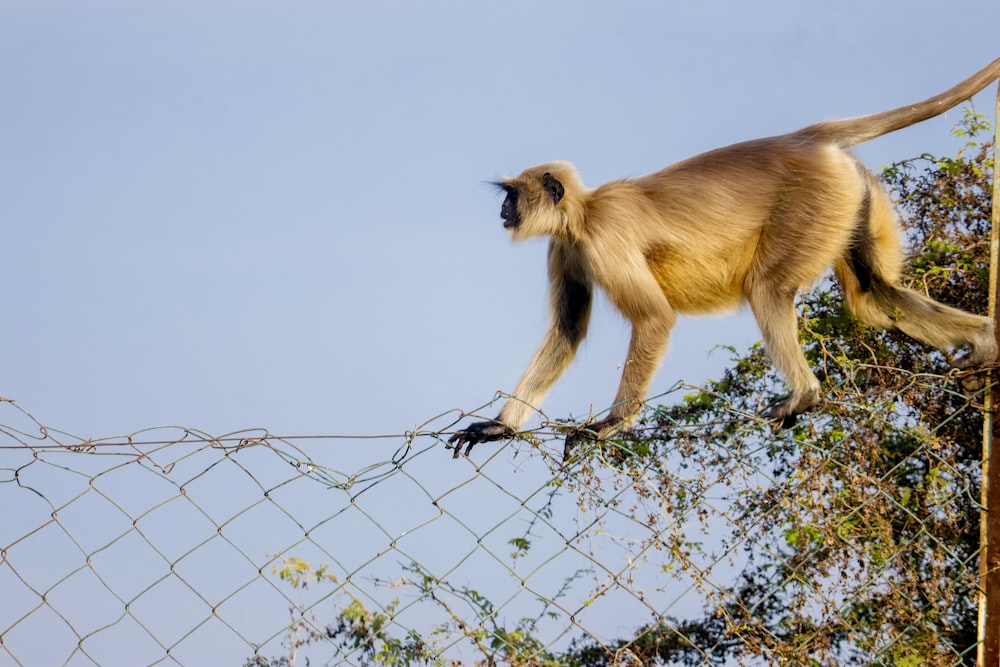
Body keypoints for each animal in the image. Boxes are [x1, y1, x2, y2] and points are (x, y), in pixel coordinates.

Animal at [450, 58, 1000, 460]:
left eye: (512, 195)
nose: (503, 210)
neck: (583, 214)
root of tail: (806, 137)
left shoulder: (603, 238)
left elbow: (654, 318)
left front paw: (610, 424)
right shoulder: (566, 246)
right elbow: (566, 332)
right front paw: (499, 426)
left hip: (814, 200)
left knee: (769, 289)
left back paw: (805, 394)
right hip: (852, 197)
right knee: (871, 294)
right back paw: (985, 344)